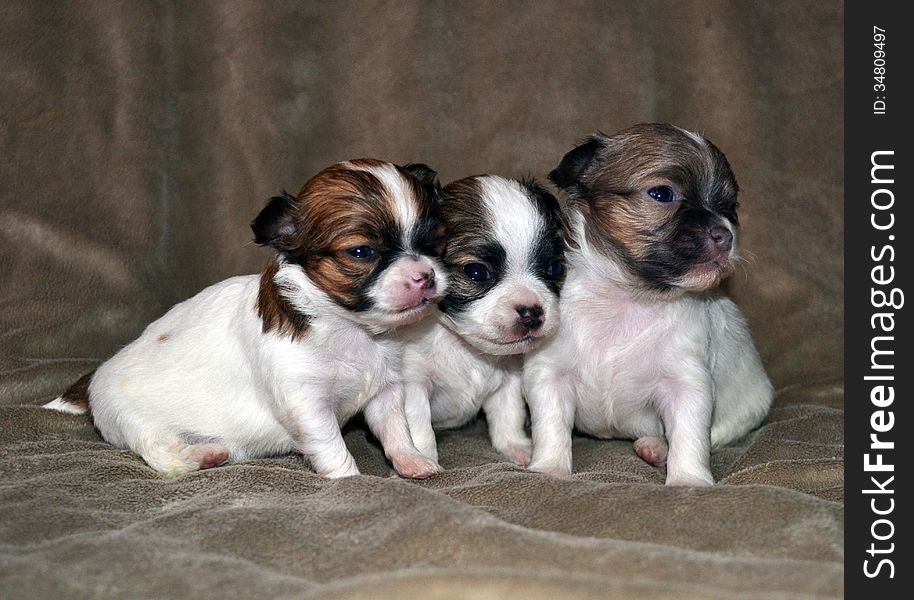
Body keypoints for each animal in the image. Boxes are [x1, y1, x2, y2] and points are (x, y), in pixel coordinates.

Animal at [44, 158, 450, 478]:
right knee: (159, 453)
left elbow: (395, 430)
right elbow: (331, 445)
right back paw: (202, 455)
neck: (352, 330)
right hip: (135, 422)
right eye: (362, 252)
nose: (424, 276)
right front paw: (349, 479)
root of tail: (95, 379)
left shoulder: (385, 389)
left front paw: (413, 462)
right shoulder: (305, 402)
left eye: (432, 243)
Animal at [400, 173, 564, 464]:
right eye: (476, 272)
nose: (532, 312)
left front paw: (517, 448)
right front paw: (423, 460)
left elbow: (509, 414)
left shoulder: (509, 381)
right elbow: (418, 427)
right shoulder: (413, 385)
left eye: (554, 268)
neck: (463, 347)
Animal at [524, 124, 772, 486]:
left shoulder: (687, 384)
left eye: (730, 207)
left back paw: (656, 448)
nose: (726, 235)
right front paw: (548, 469)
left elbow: (690, 436)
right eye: (661, 194)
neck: (629, 297)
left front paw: (688, 481)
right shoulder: (549, 374)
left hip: (749, 405)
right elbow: (552, 427)